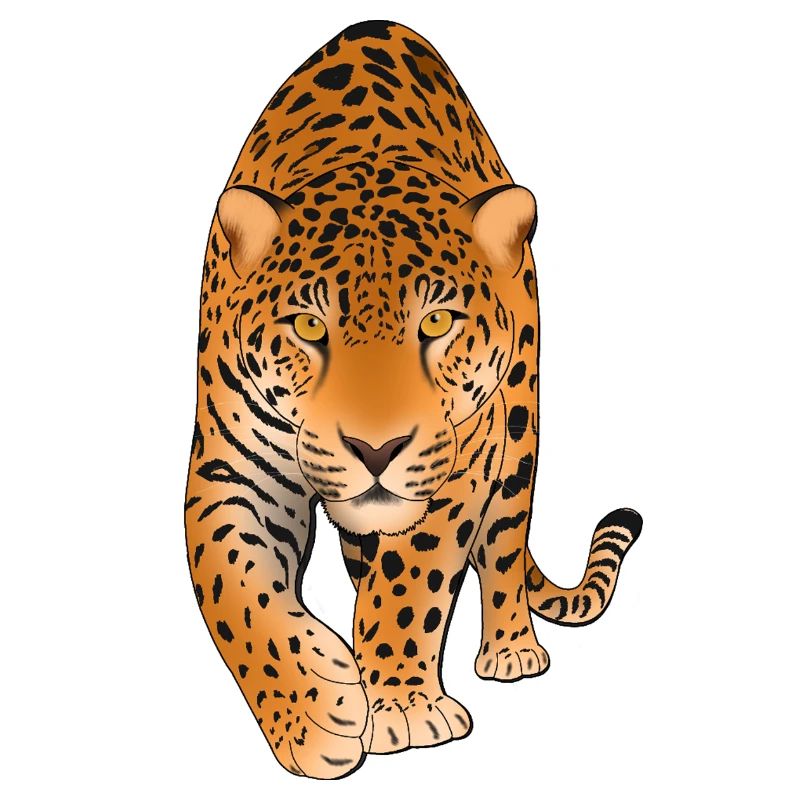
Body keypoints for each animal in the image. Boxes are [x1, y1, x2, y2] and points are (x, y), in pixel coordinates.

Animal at [184, 19, 642, 780]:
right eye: (310, 327)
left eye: (435, 322)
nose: (376, 450)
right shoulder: (232, 467)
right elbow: (233, 587)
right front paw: (314, 712)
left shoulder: (458, 464)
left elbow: (410, 581)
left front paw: (399, 705)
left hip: (518, 430)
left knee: (505, 544)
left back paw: (511, 648)